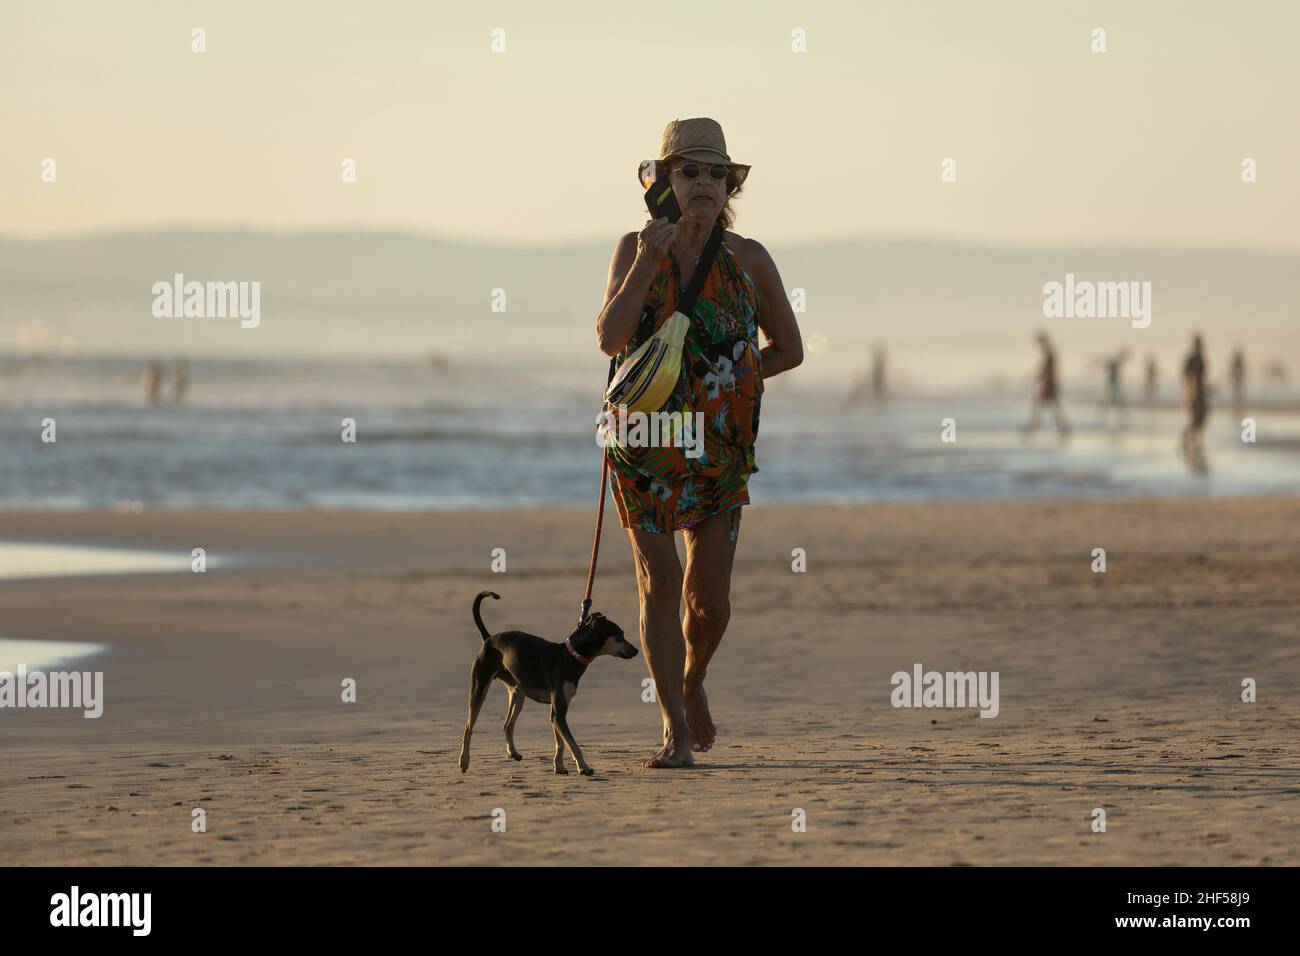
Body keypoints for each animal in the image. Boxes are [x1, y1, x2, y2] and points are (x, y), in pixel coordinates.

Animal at [457, 590, 639, 780]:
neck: (570, 657)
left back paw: (513, 752)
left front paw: (558, 766)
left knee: (507, 724)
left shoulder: (556, 712)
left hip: (518, 693)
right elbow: (572, 744)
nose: (636, 650)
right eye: (619, 637)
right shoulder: (559, 712)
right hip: (479, 688)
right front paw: (583, 767)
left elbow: (561, 742)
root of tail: (489, 638)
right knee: (468, 726)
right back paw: (464, 761)